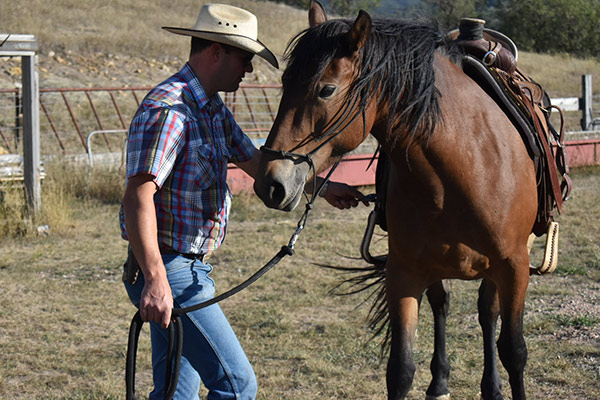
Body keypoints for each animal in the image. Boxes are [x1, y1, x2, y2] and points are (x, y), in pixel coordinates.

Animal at [255, 1, 536, 398]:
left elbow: (514, 351)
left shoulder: (514, 267)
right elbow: (400, 369)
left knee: (486, 312)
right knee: (443, 304)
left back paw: (491, 386)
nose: (270, 182)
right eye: (284, 84)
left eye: (326, 89)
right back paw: (440, 382)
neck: (470, 164)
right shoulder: (404, 273)